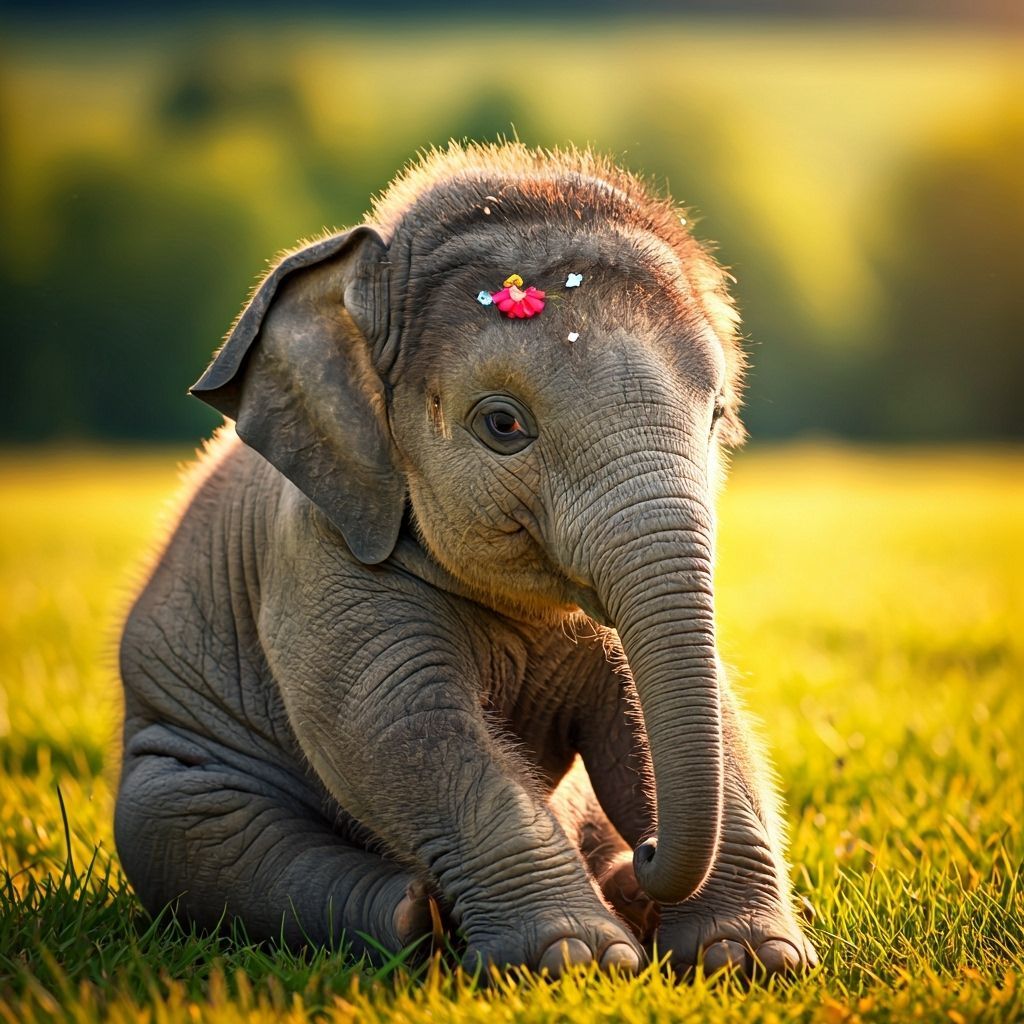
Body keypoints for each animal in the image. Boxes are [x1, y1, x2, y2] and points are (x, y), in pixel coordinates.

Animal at [115, 142, 817, 978]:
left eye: (718, 417)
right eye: (503, 425)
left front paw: (749, 960)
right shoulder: (320, 552)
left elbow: (676, 712)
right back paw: (421, 917)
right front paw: (578, 959)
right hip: (174, 760)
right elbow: (399, 721)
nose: (647, 850)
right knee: (194, 833)